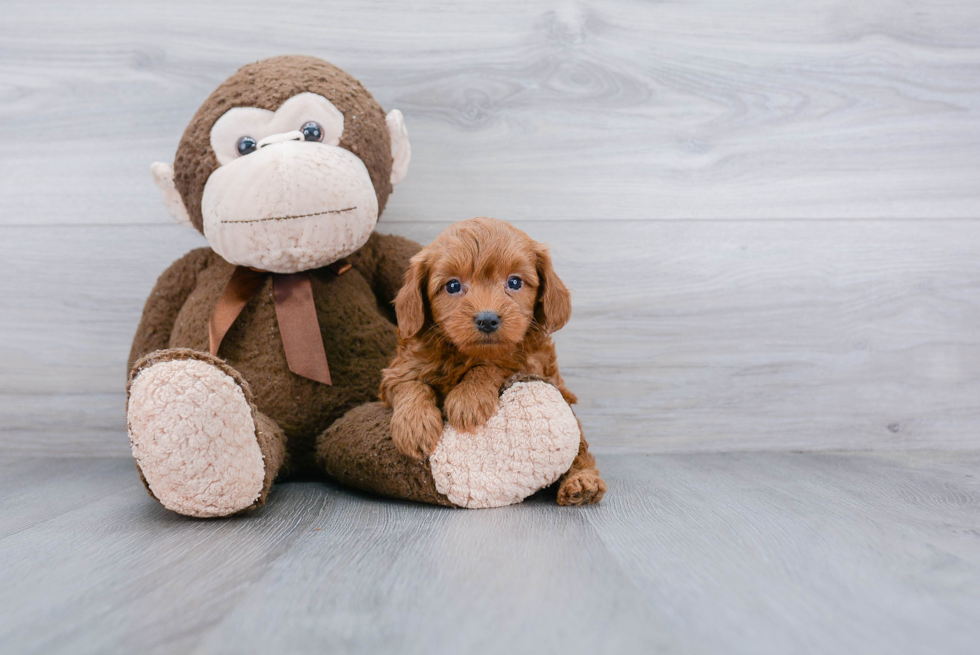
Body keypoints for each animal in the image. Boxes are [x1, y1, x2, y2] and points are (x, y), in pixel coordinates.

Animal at [380, 218, 604, 504]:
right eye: (452, 286)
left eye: (515, 282)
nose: (487, 319)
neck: (465, 354)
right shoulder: (398, 370)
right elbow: (410, 384)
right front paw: (414, 425)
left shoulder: (529, 364)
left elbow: (494, 365)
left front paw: (468, 398)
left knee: (580, 450)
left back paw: (582, 483)